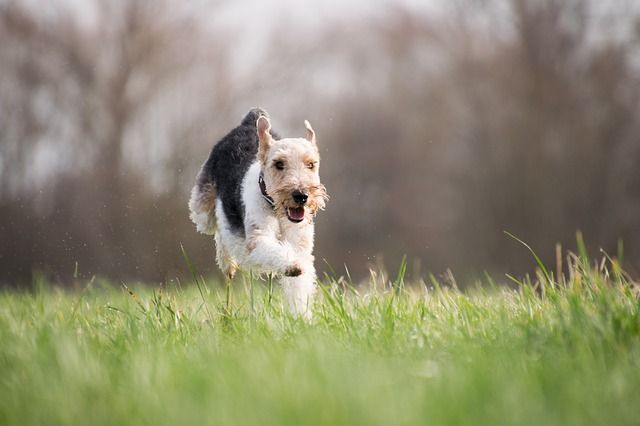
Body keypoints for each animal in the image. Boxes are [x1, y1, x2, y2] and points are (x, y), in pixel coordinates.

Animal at [188, 108, 328, 318]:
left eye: (311, 164)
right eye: (279, 164)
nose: (301, 196)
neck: (277, 211)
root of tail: (249, 120)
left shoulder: (301, 246)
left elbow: (299, 286)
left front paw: (302, 318)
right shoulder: (258, 239)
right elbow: (275, 252)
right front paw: (292, 266)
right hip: (203, 211)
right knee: (219, 228)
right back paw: (227, 263)